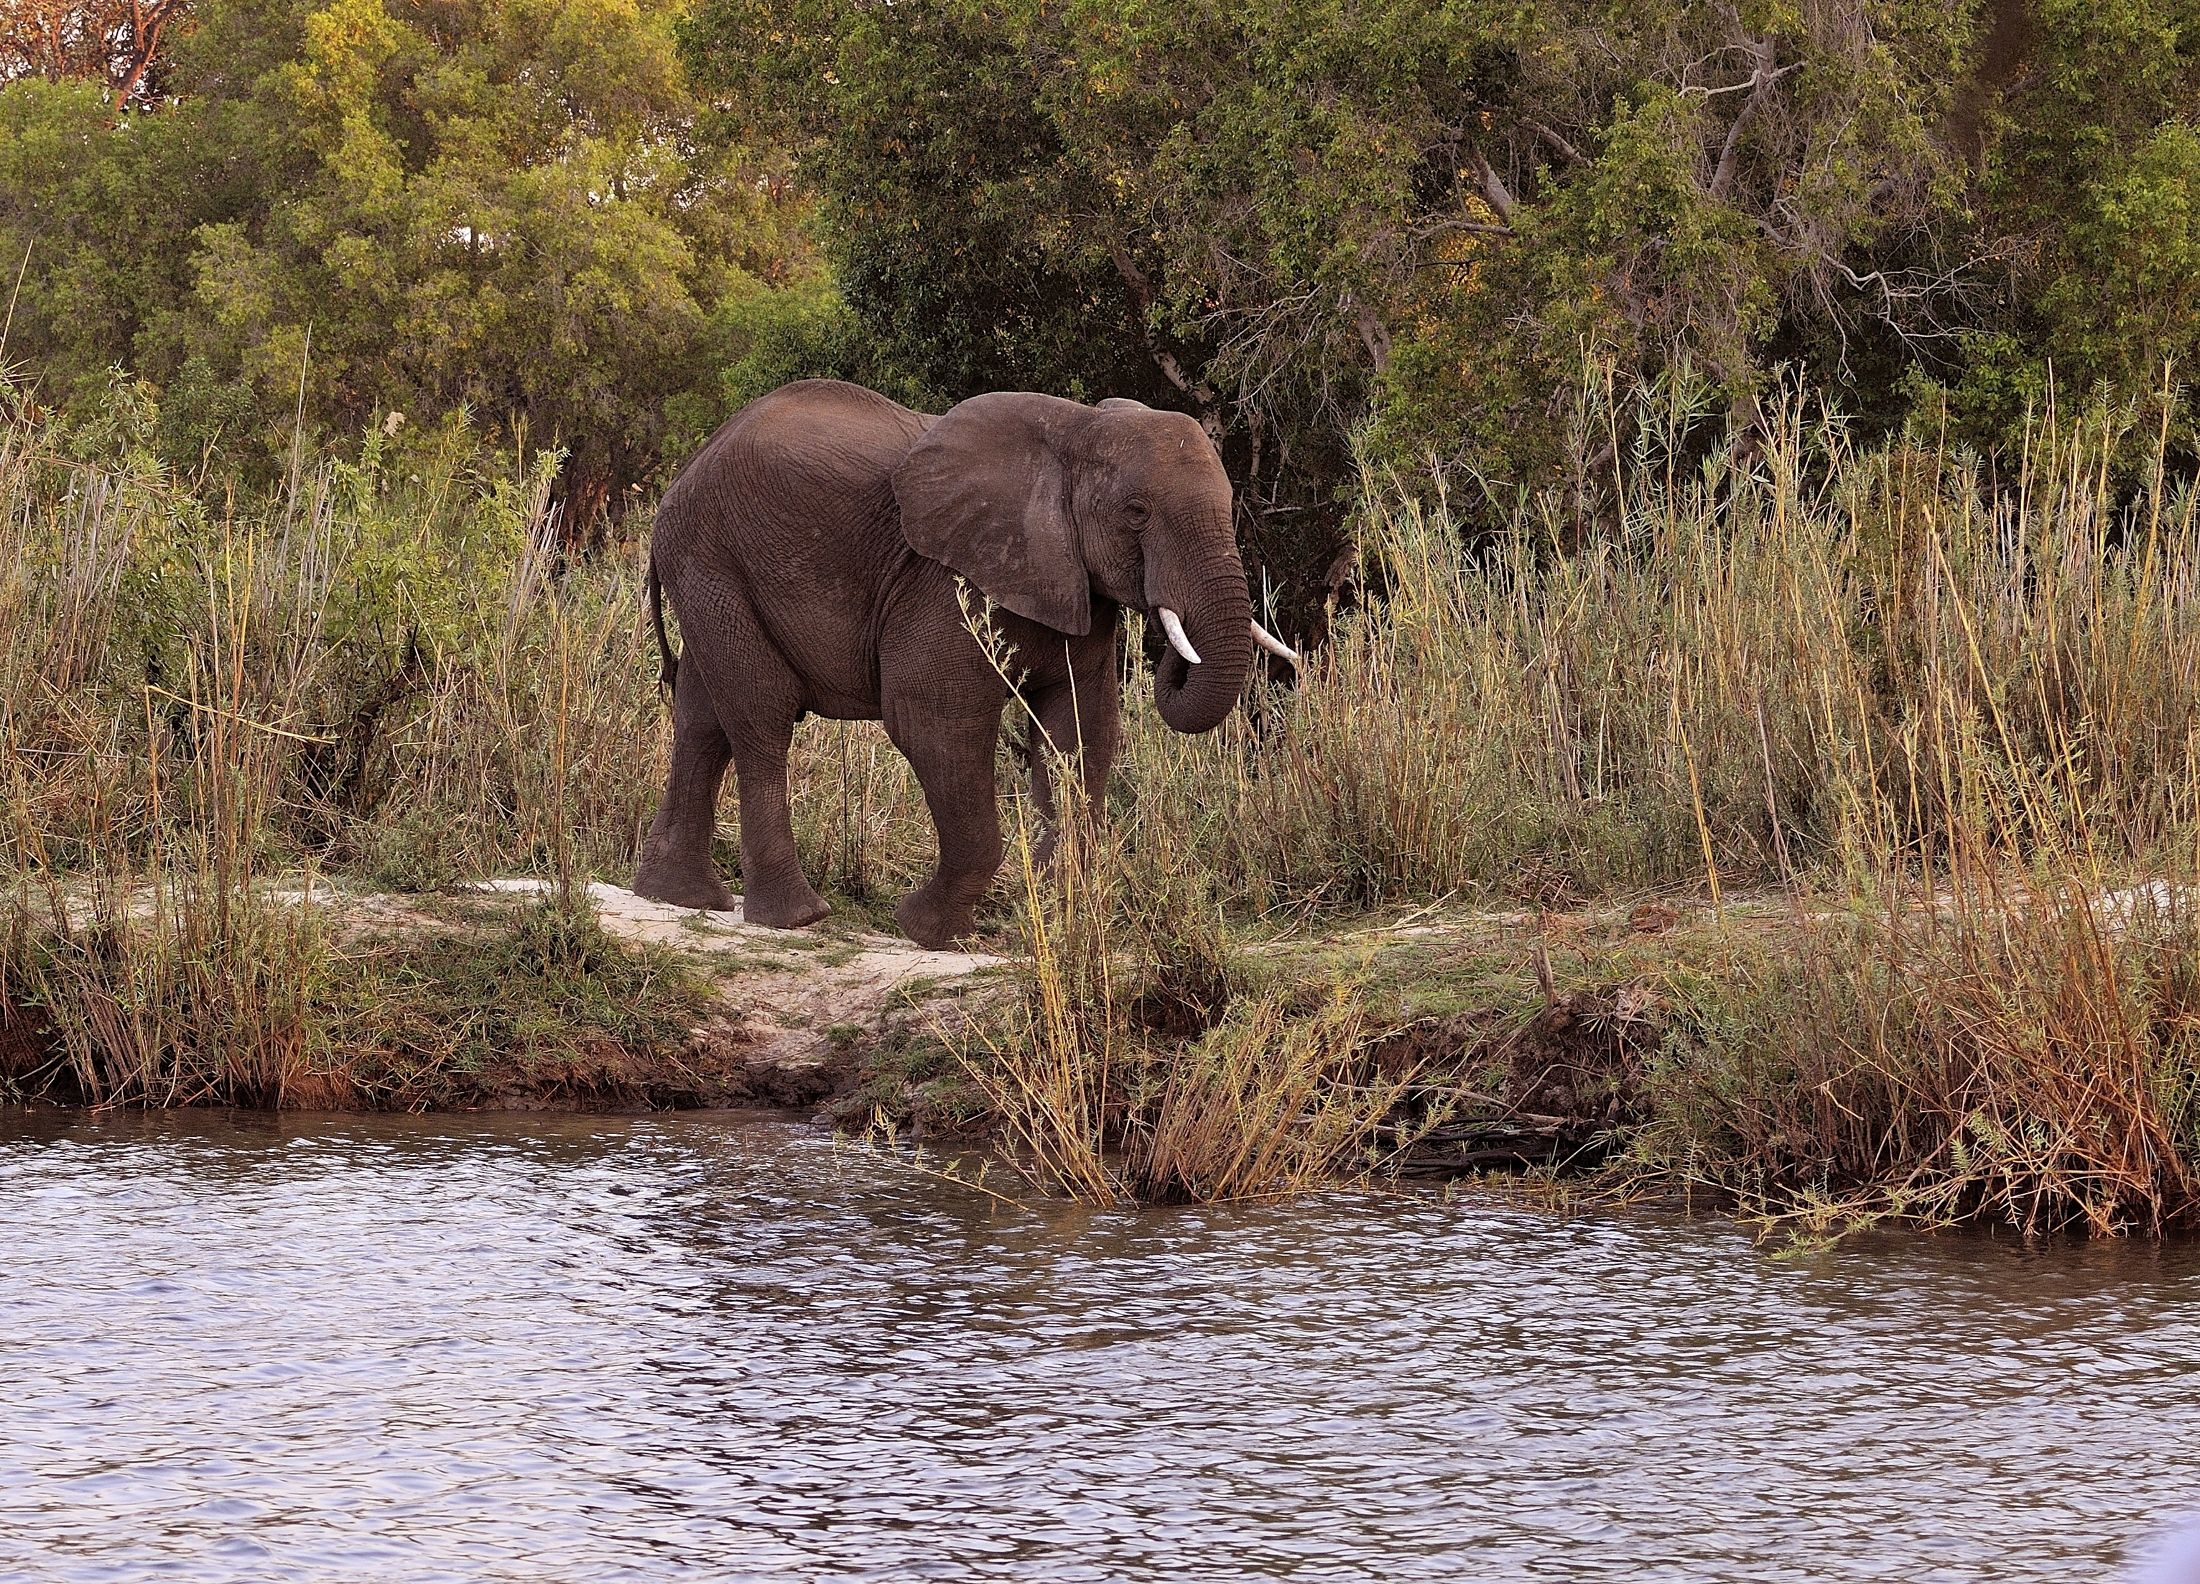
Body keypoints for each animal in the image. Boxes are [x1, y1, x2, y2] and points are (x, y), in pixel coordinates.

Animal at [631, 379, 1298, 950]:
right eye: (1136, 511)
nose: (1171, 655)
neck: (1077, 430)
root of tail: (688, 470)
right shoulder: (944, 580)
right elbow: (935, 723)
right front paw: (928, 930)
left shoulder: (1070, 581)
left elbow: (1082, 730)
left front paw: (1050, 906)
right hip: (713, 558)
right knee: (760, 713)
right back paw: (797, 917)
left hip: (710, 572)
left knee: (702, 716)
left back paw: (682, 898)